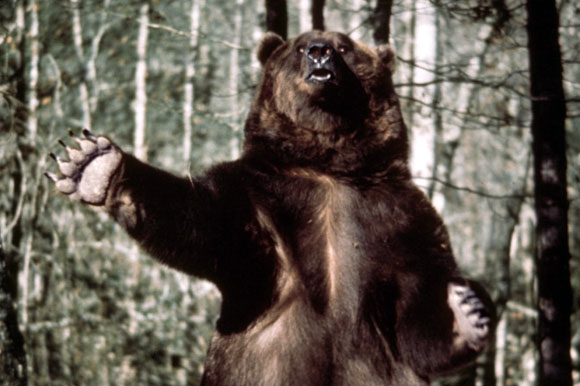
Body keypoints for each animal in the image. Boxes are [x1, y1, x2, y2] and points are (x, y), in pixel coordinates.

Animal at [51, 30, 494, 386]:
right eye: (301, 45)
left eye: (345, 47)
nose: (319, 53)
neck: (329, 165)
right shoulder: (262, 203)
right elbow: (201, 219)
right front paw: (93, 163)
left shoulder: (398, 217)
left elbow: (419, 301)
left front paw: (466, 311)